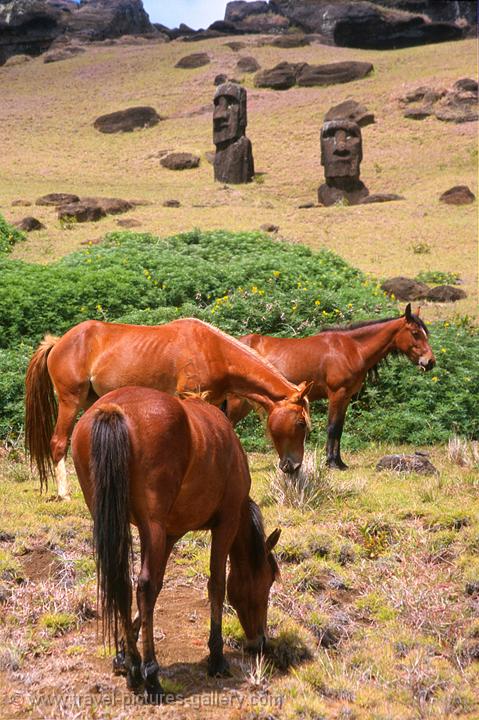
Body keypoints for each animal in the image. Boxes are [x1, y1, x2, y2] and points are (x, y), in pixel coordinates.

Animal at [25, 318, 312, 498]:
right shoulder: (191, 397)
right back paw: (63, 493)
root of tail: (59, 342)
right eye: (300, 423)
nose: (293, 466)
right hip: (70, 401)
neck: (215, 351)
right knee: (58, 443)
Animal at [71, 388, 282, 704]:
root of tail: (113, 409)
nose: (260, 641)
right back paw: (149, 675)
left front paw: (123, 652)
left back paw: (132, 665)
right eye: (267, 581)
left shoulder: (169, 534)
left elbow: (158, 586)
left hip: (114, 519)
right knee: (142, 587)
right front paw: (216, 658)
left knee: (123, 584)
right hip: (153, 525)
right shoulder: (226, 523)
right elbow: (216, 584)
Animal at [227, 306, 436, 470]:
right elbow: (333, 427)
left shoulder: (346, 397)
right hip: (237, 402)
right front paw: (332, 463)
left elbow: (340, 429)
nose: (430, 362)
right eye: (416, 333)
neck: (351, 350)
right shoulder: (337, 394)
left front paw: (340, 462)